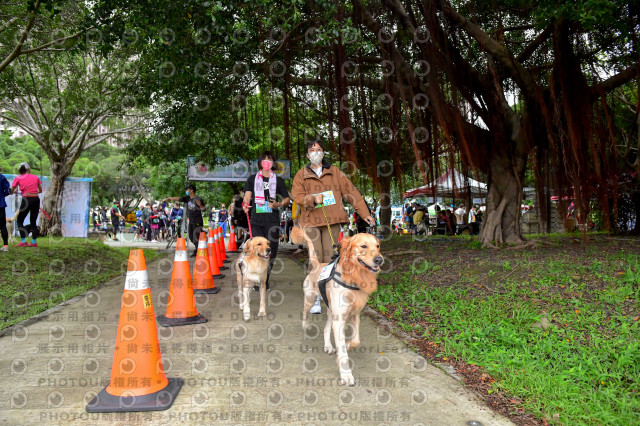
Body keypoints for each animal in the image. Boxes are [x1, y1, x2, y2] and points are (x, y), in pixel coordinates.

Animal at [298, 230, 380, 386]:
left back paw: (329, 346)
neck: (353, 276)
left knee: (326, 328)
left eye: (378, 246)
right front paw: (346, 375)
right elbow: (343, 354)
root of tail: (318, 264)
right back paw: (305, 326)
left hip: (331, 310)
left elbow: (355, 340)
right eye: (363, 246)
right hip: (310, 299)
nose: (380, 259)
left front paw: (347, 345)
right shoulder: (340, 320)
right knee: (304, 313)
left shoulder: (354, 315)